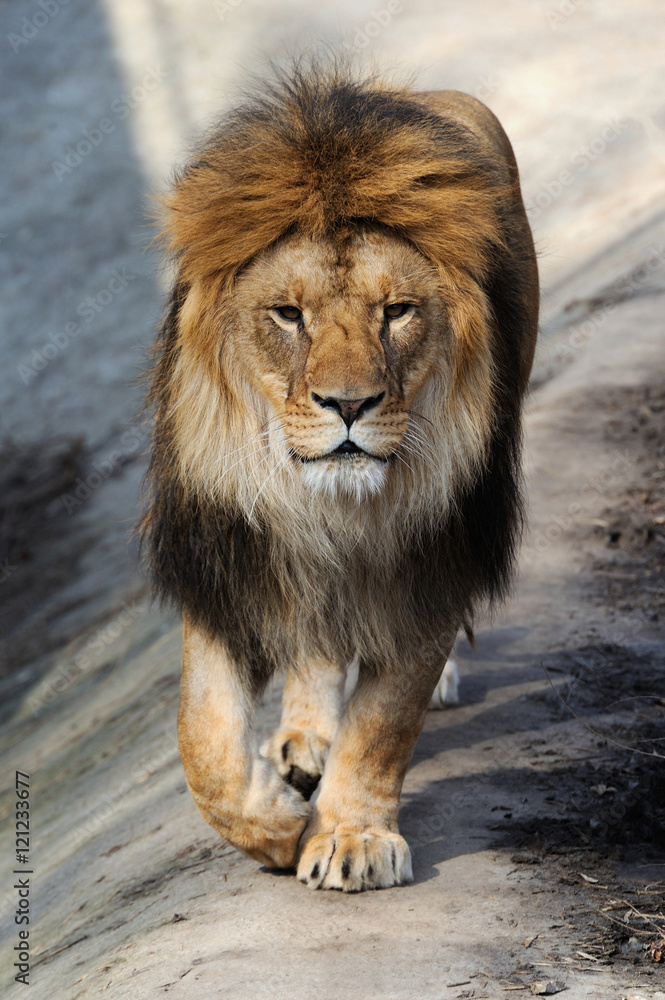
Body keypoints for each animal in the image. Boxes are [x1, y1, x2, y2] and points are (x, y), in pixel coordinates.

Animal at [140, 65, 538, 891]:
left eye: (398, 311)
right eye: (288, 315)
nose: (349, 404)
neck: (337, 508)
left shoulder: (435, 559)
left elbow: (385, 719)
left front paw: (352, 835)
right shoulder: (232, 555)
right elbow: (203, 738)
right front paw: (273, 824)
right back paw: (301, 742)